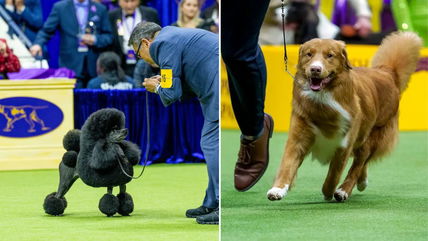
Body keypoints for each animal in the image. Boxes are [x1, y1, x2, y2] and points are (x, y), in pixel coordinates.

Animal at [268, 31, 422, 201]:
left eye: (330, 55)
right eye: (309, 54)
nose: (315, 69)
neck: (323, 98)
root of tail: (386, 71)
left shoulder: (344, 144)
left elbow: (333, 176)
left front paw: (328, 193)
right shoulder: (298, 138)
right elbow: (287, 166)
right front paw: (277, 189)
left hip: (372, 136)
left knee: (358, 164)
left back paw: (344, 190)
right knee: (362, 164)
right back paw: (361, 182)